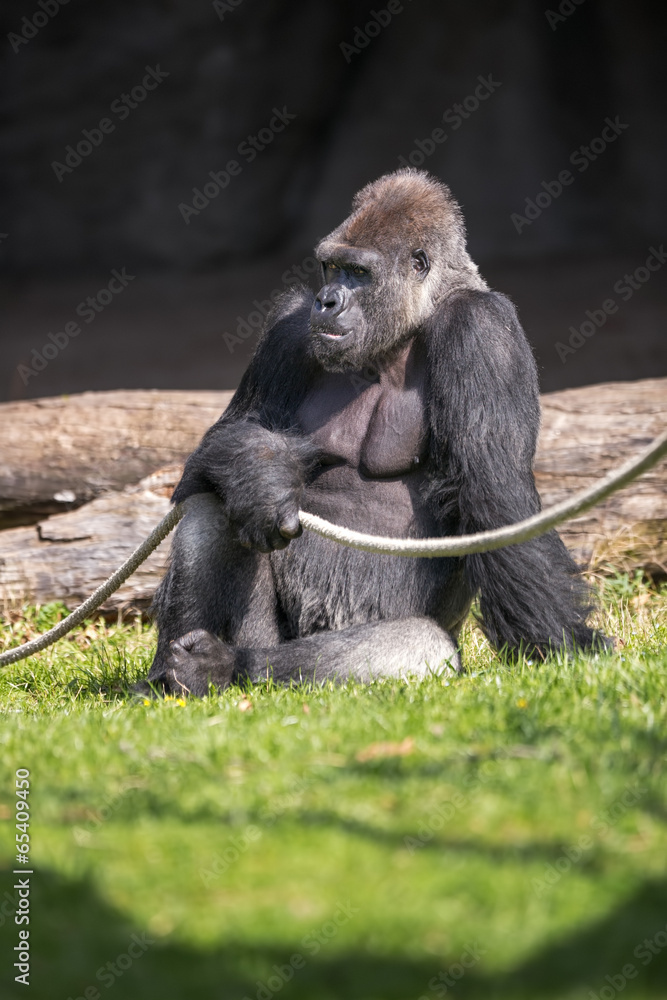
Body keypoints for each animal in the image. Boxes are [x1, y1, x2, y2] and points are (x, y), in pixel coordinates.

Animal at [141, 168, 608, 697]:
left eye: (359, 274)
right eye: (330, 268)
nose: (326, 301)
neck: (409, 326)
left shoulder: (483, 329)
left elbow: (496, 496)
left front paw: (562, 644)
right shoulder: (288, 326)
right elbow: (226, 437)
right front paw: (258, 476)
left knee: (422, 645)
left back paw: (227, 666)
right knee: (209, 500)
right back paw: (173, 679)